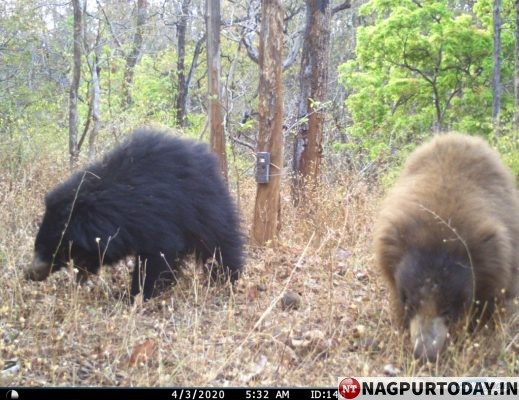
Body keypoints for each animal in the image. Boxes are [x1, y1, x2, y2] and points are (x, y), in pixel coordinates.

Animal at [24, 128, 244, 300]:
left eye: (50, 249)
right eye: (38, 245)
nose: (30, 273)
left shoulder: (155, 215)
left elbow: (157, 255)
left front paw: (135, 294)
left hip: (204, 207)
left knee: (220, 242)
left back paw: (226, 279)